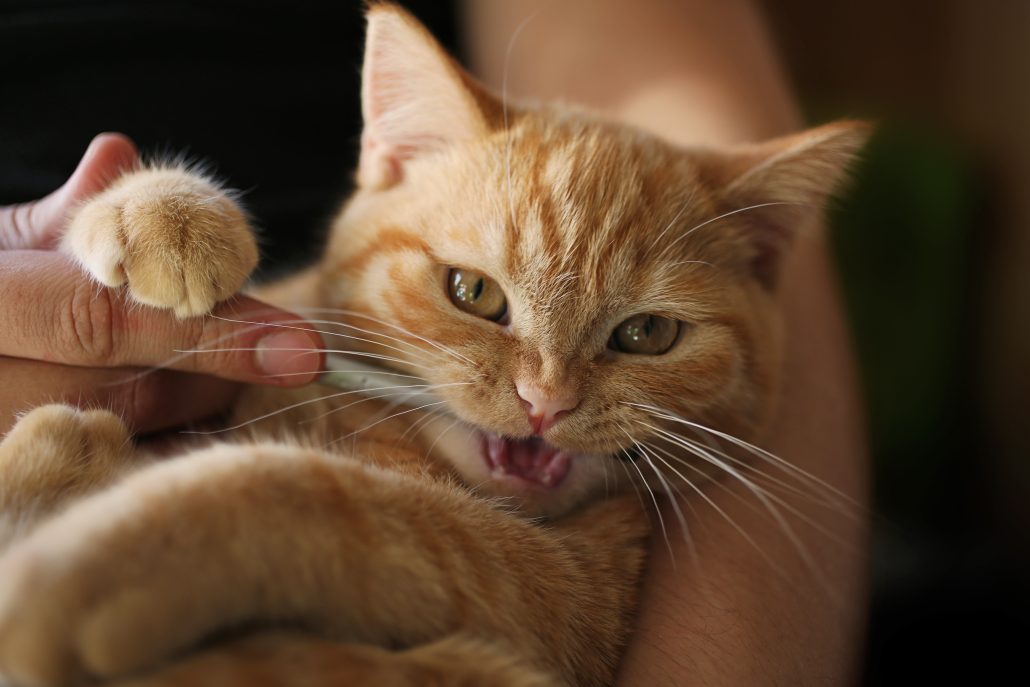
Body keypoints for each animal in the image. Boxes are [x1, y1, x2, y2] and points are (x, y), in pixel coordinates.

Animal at [0, 5, 865, 687]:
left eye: (647, 334)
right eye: (472, 292)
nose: (545, 402)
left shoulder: (560, 588)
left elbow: (313, 496)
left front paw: (81, 573)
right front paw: (163, 213)